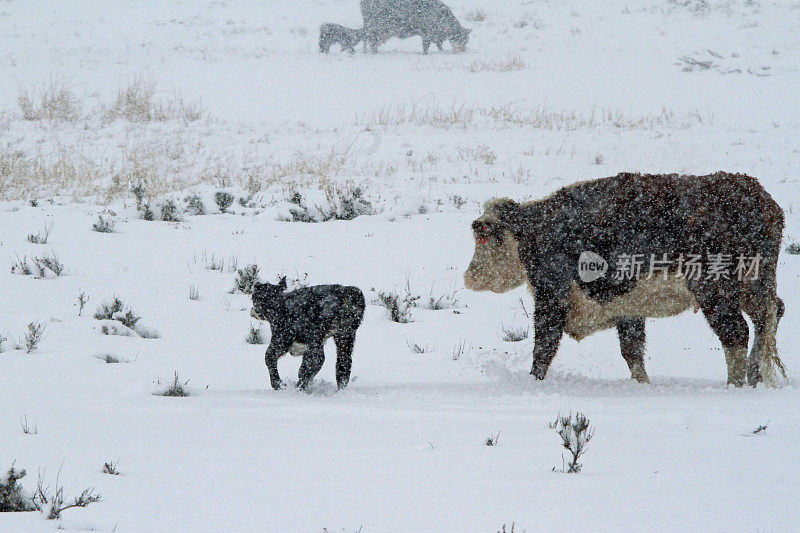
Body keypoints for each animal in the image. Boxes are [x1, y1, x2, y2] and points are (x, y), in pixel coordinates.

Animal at [466, 174, 784, 386]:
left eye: (484, 233)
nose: (470, 277)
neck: (538, 232)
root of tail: (760, 197)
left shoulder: (551, 297)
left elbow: (544, 347)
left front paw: (534, 382)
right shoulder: (627, 306)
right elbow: (632, 351)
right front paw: (642, 386)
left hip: (717, 292)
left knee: (736, 333)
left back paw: (735, 385)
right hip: (756, 286)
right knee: (769, 316)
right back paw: (755, 377)